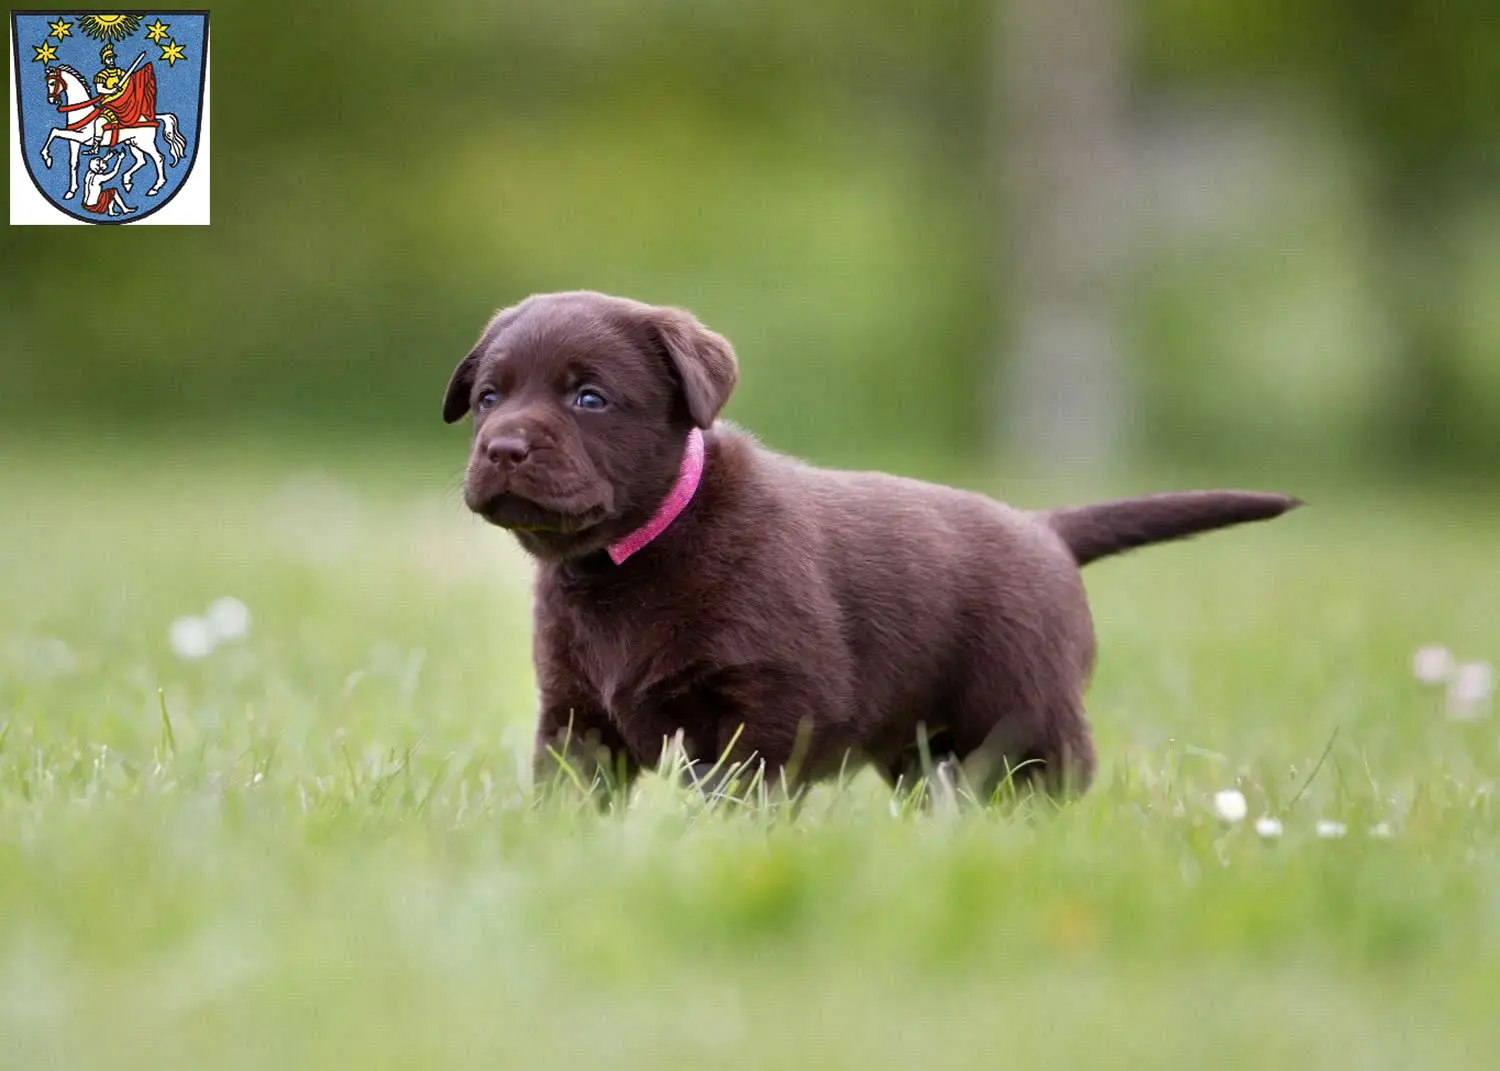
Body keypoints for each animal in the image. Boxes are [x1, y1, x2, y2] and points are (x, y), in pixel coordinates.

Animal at [38, 64, 187, 201]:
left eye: (52, 83)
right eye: (47, 82)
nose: (52, 100)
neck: (82, 112)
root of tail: (152, 117)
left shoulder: (82, 137)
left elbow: (55, 131)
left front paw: (47, 157)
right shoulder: (74, 141)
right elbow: (73, 163)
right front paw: (71, 191)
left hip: (145, 143)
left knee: (158, 158)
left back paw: (155, 187)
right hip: (133, 143)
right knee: (141, 160)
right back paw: (127, 180)